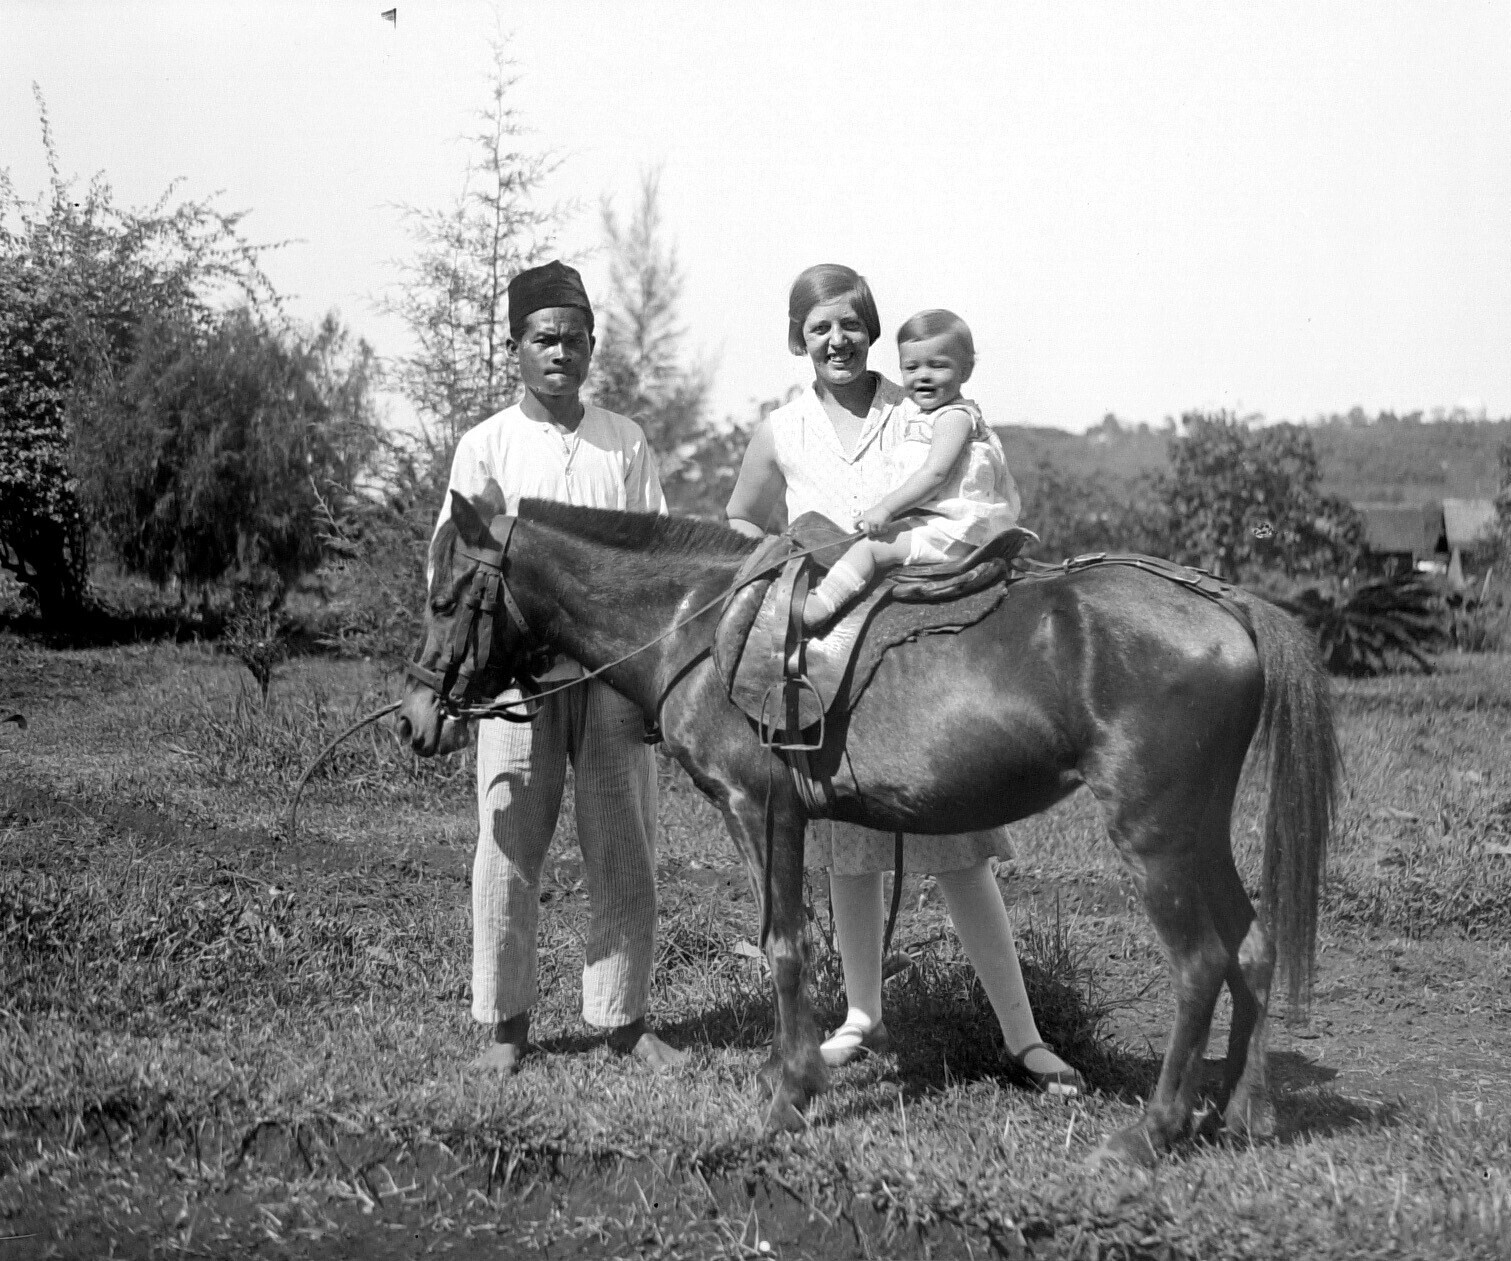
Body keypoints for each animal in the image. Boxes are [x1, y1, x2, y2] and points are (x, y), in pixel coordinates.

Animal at [397, 485, 1336, 1167]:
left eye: (445, 600)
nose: (413, 719)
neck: (698, 621)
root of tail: (1223, 604)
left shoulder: (758, 808)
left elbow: (784, 944)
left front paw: (788, 1094)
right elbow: (795, 941)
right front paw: (793, 1070)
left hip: (1155, 835)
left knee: (1201, 962)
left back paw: (1156, 1128)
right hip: (1198, 830)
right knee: (1252, 946)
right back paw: (1240, 1109)